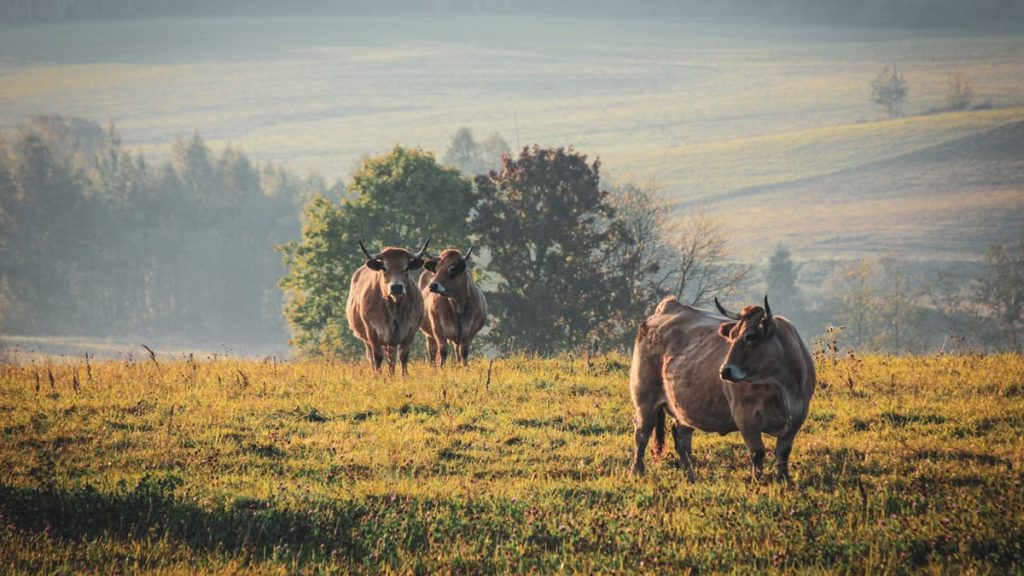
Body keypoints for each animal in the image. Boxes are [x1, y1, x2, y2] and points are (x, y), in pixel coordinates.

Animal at [346, 239, 430, 376]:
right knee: (371, 356)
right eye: (385, 268)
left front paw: (404, 376)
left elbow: (403, 356)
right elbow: (378, 357)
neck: (393, 310)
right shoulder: (372, 331)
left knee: (392, 358)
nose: (396, 287)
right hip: (368, 340)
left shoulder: (410, 331)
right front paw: (378, 376)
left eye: (406, 268)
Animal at [629, 294, 815, 483]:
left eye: (751, 336)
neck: (780, 386)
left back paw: (690, 475)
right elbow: (757, 453)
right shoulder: (745, 418)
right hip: (645, 398)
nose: (724, 370)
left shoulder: (798, 417)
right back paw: (637, 471)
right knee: (642, 434)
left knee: (682, 438)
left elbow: (783, 452)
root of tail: (670, 305)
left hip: (683, 406)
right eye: (732, 336)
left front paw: (784, 480)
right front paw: (757, 482)